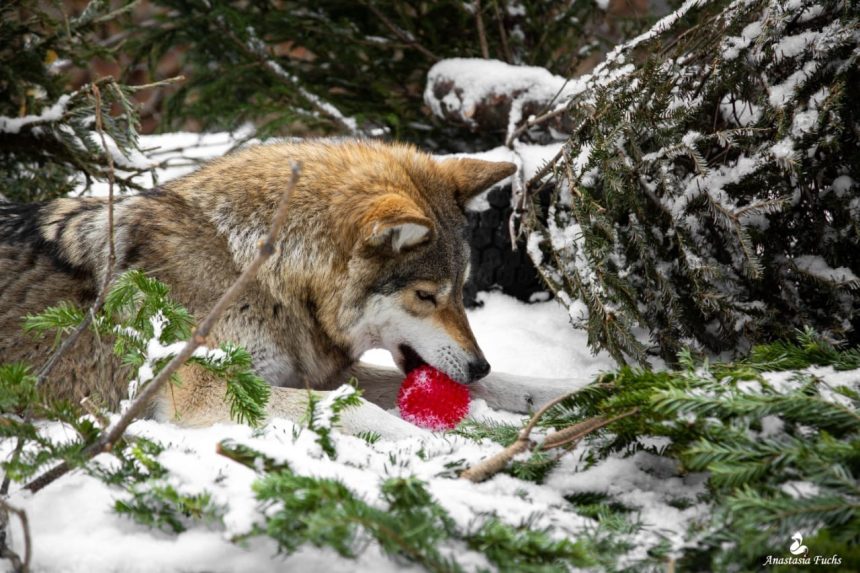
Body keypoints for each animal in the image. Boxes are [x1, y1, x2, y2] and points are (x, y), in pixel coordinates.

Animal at [1, 141, 576, 436]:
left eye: (460, 291)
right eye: (425, 296)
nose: (479, 364)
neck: (251, 267)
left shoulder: (317, 372)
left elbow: (502, 388)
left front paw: (562, 392)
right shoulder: (208, 391)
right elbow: (362, 412)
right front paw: (439, 453)